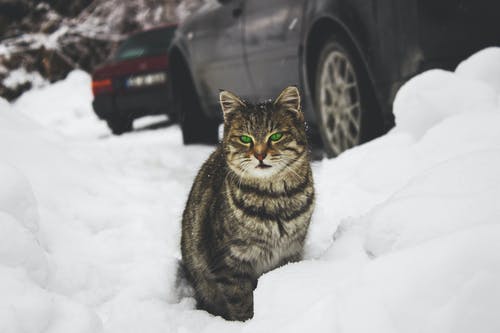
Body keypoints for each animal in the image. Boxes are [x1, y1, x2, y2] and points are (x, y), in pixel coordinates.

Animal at [178, 85, 314, 320]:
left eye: (275, 136)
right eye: (245, 139)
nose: (259, 155)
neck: (276, 199)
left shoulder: (291, 251)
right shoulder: (229, 263)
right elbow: (241, 301)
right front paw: (248, 322)